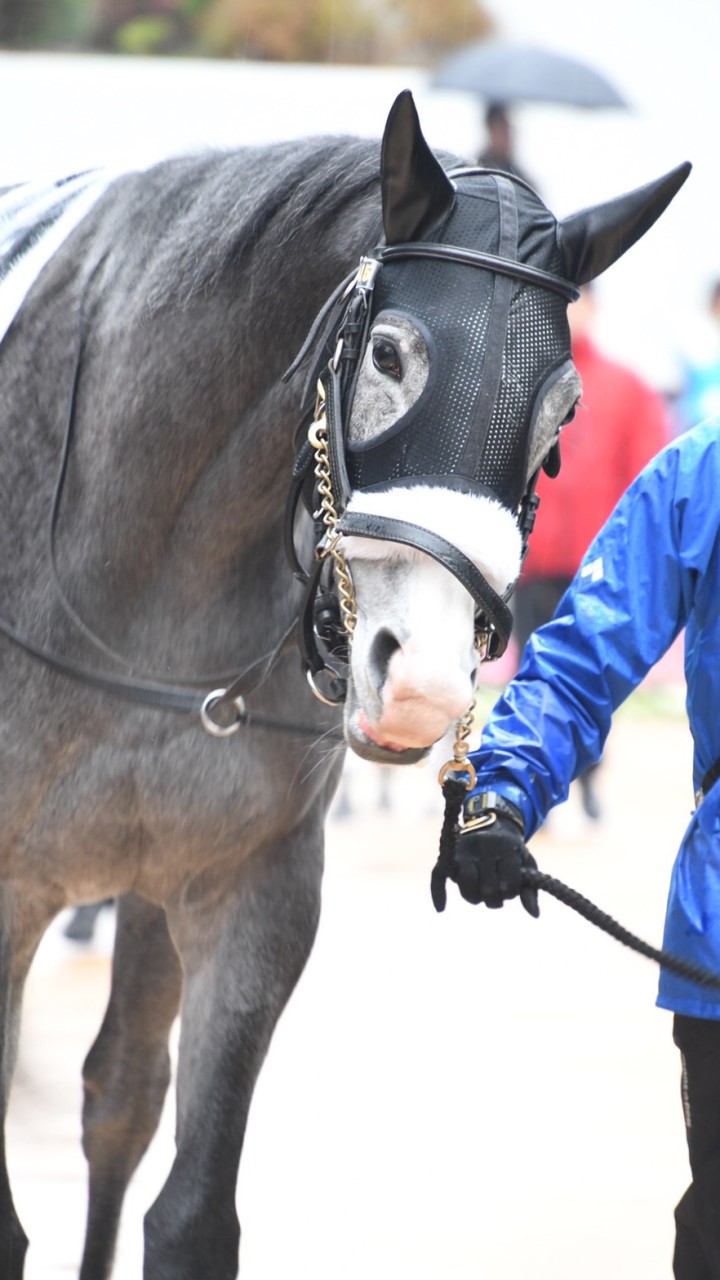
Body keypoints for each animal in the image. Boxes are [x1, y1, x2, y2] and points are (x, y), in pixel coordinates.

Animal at [0, 92, 686, 1280]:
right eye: (395, 356)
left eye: (564, 415)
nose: (422, 678)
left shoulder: (251, 885)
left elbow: (191, 1211)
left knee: (119, 1096)